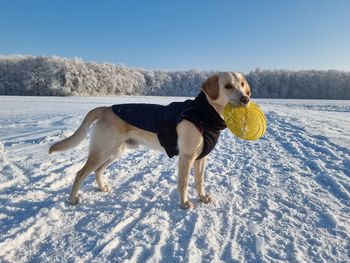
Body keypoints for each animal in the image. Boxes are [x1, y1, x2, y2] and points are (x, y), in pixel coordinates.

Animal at [50, 72, 252, 210]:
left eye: (242, 84)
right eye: (228, 86)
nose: (246, 99)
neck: (204, 114)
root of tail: (106, 108)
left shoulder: (201, 158)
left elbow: (199, 181)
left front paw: (202, 197)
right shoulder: (186, 157)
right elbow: (184, 183)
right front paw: (185, 203)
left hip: (114, 151)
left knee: (97, 171)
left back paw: (103, 188)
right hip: (102, 151)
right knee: (80, 174)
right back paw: (72, 199)